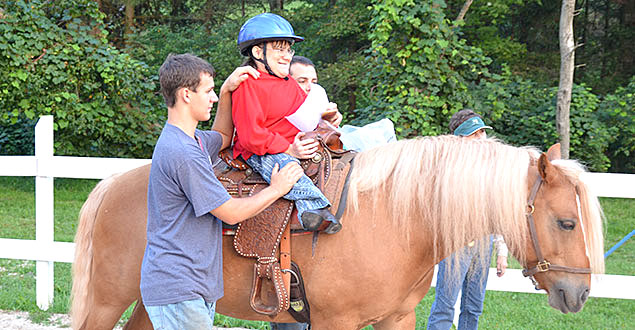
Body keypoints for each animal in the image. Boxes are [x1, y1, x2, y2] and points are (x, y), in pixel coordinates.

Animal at [69, 135, 608, 328]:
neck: (395, 219)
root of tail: (112, 184)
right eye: (566, 221)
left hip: (150, 303)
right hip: (107, 300)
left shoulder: (396, 320)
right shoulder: (335, 323)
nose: (579, 293)